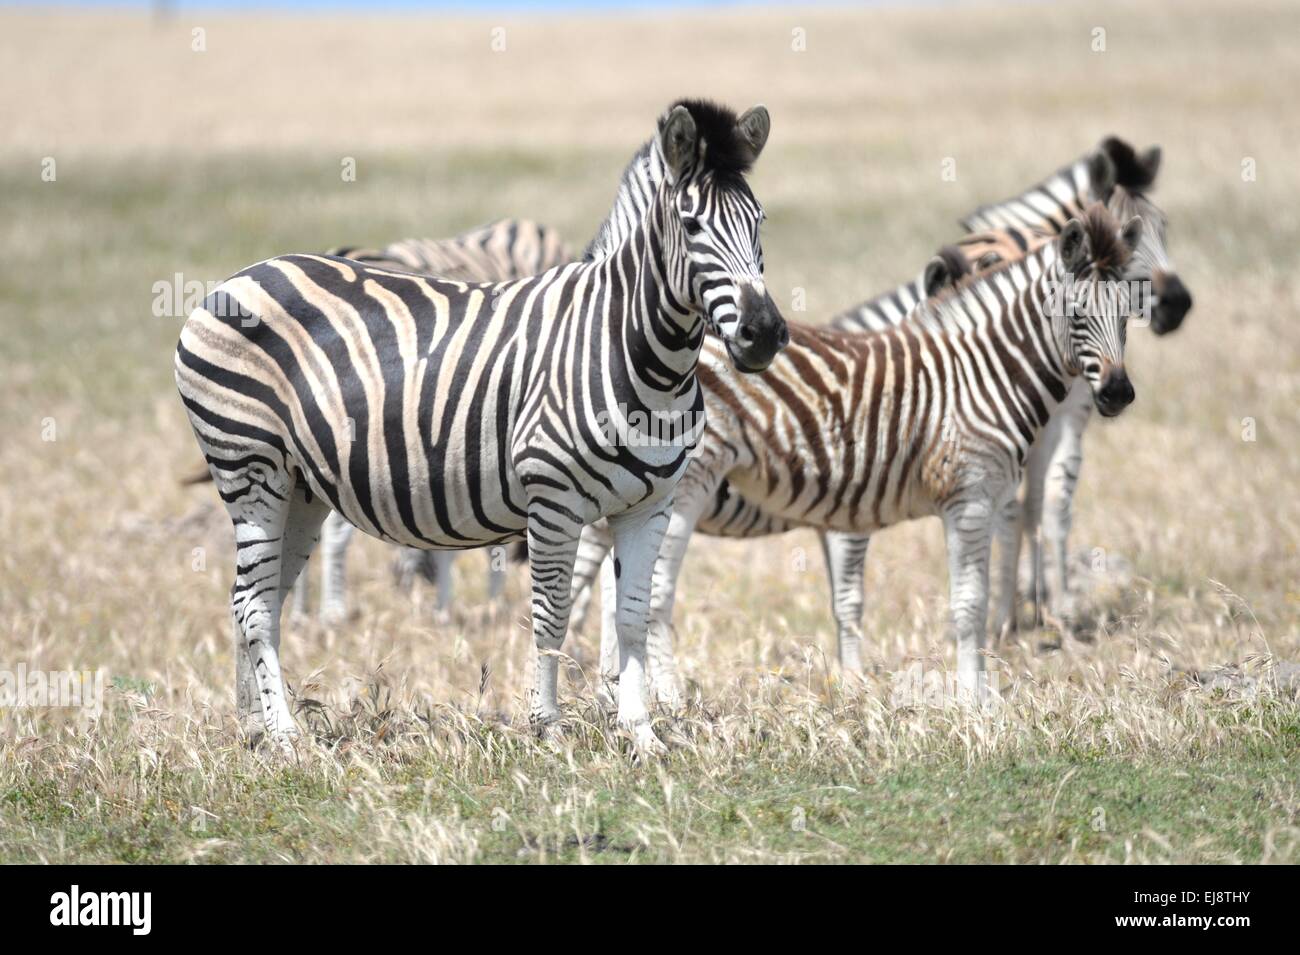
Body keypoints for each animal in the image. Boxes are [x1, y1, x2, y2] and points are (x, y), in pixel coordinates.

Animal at [174, 98, 787, 752]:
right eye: (692, 226)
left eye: (759, 222)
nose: (763, 334)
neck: (630, 347)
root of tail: (237, 278)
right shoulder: (553, 499)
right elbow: (551, 615)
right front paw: (549, 730)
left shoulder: (649, 505)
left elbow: (632, 615)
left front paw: (642, 736)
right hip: (249, 467)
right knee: (253, 603)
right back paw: (287, 739)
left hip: (301, 485)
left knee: (259, 596)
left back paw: (253, 728)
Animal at [576, 205, 1143, 702]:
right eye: (1075, 313)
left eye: (1129, 313)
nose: (1118, 394)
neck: (980, 372)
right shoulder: (961, 498)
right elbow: (963, 605)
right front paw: (971, 701)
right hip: (687, 485)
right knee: (652, 596)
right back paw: (667, 699)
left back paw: (614, 691)